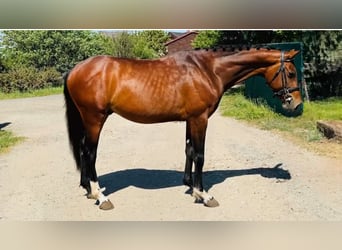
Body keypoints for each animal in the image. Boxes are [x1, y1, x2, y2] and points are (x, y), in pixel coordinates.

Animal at [63, 46, 302, 210]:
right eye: (291, 73)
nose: (296, 104)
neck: (210, 70)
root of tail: (76, 69)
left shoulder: (190, 119)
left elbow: (189, 150)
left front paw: (189, 184)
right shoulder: (200, 119)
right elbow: (200, 155)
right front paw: (203, 194)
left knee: (83, 151)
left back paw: (87, 188)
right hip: (95, 118)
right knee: (90, 153)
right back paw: (100, 196)